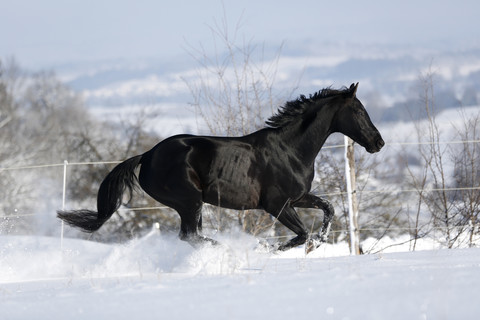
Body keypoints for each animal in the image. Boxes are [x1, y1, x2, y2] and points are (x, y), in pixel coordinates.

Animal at [58, 83, 384, 252]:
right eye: (358, 110)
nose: (378, 142)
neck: (290, 150)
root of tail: (148, 155)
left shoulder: (298, 197)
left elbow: (328, 208)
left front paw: (322, 239)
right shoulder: (276, 204)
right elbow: (302, 234)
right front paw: (266, 248)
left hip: (191, 204)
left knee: (190, 236)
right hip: (189, 200)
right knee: (190, 236)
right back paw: (224, 247)